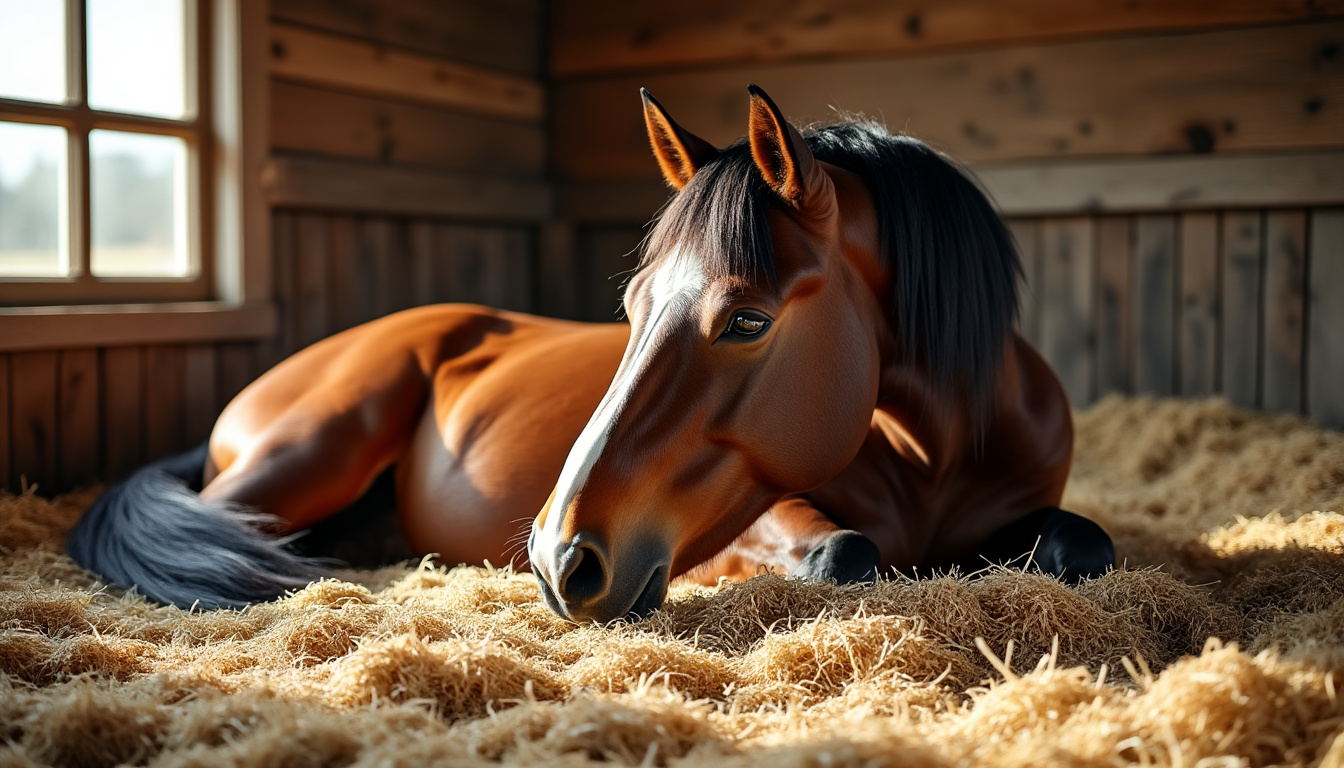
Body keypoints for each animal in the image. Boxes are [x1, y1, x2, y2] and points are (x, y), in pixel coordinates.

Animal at [68, 85, 1115, 623]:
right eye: (633, 305)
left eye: (748, 320)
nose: (556, 557)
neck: (936, 451)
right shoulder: (758, 520)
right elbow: (845, 554)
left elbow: (1089, 547)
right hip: (308, 453)